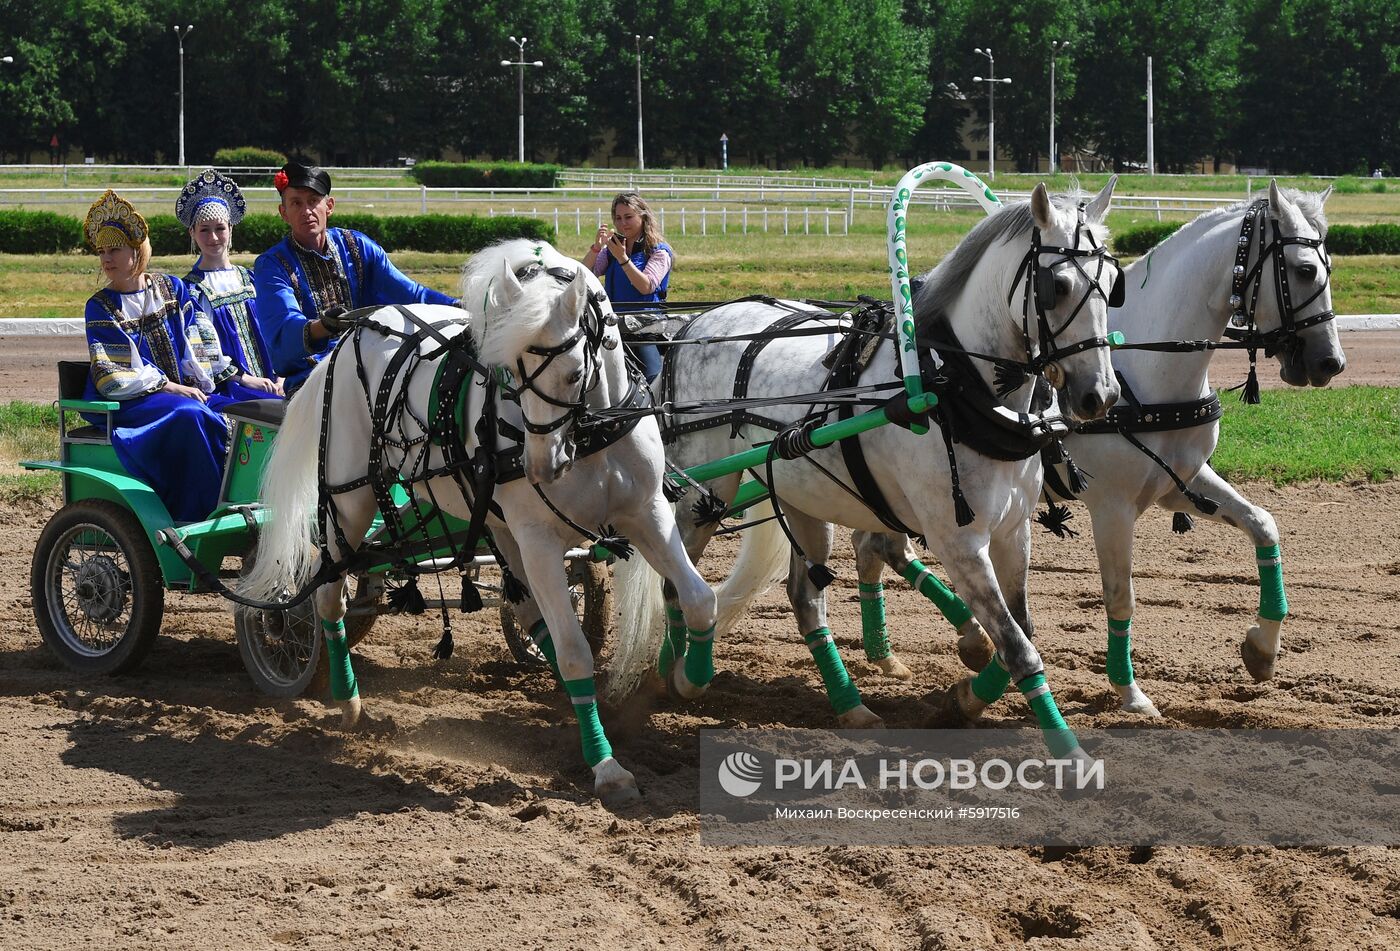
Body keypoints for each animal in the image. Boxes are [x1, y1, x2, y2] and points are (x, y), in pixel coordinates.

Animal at [242, 238, 716, 801]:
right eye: (509, 371)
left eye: (573, 374)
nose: (540, 468)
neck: (590, 433)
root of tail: (349, 335)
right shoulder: (540, 539)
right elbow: (575, 652)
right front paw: (607, 767)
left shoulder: (647, 512)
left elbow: (698, 598)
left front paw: (688, 679)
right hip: (351, 500)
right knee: (327, 595)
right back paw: (347, 699)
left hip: (499, 525)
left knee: (532, 614)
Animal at [618, 180, 1120, 756]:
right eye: (1056, 286)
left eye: (1114, 284)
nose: (1100, 395)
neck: (953, 387)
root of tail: (695, 323)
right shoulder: (959, 541)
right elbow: (1018, 647)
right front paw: (1068, 751)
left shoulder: (1014, 532)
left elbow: (1022, 631)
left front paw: (964, 695)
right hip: (706, 492)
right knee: (677, 582)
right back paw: (679, 674)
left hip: (800, 493)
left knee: (804, 598)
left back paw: (850, 705)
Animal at [851, 178, 1344, 717]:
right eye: (1304, 269)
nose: (1331, 362)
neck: (1143, 375)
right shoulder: (1112, 507)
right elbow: (1119, 597)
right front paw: (1130, 693)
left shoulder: (1182, 483)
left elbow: (1264, 525)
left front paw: (1262, 648)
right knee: (876, 546)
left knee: (876, 546)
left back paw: (912, 650)